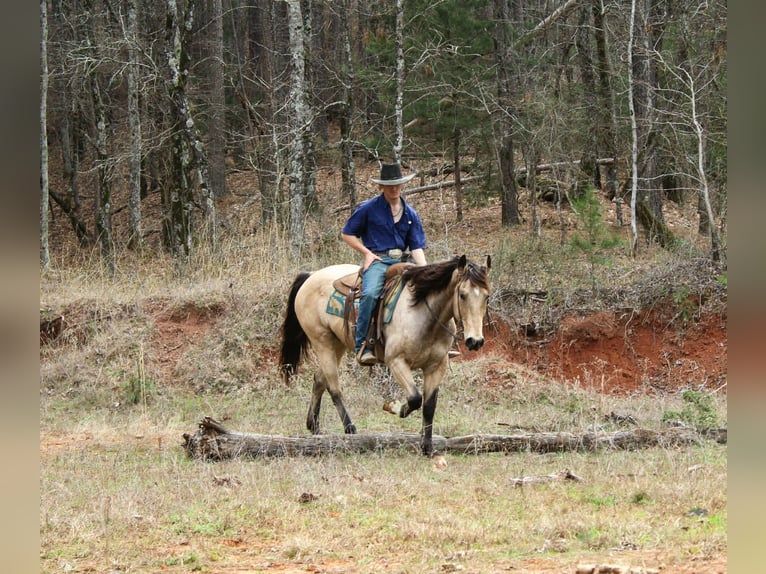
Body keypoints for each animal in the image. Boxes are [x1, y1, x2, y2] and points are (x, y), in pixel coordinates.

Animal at [279, 254, 491, 456]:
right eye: (462, 295)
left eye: (486, 297)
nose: (475, 341)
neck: (422, 315)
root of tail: (311, 275)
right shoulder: (396, 361)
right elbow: (415, 398)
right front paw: (396, 408)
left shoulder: (437, 366)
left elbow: (429, 406)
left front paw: (428, 448)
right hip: (322, 342)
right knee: (334, 387)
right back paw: (350, 429)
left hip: (337, 344)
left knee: (319, 380)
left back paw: (314, 427)